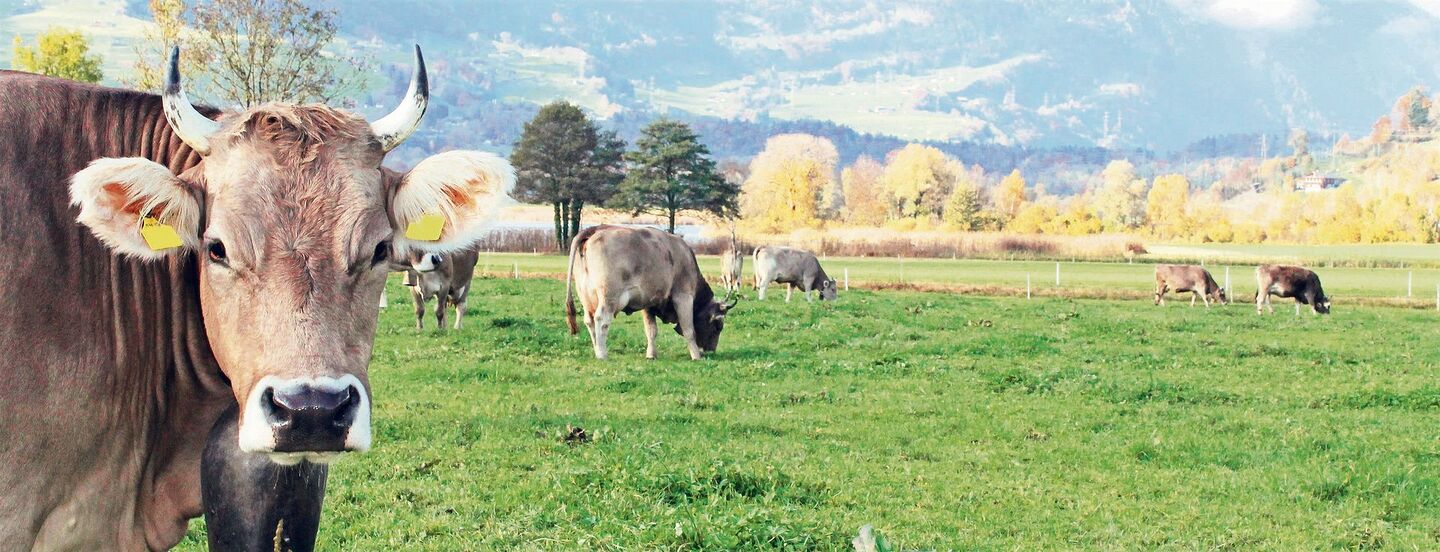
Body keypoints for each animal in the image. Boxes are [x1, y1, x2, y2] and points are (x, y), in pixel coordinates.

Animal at [565, 225, 736, 360]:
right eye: (718, 325)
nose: (711, 351)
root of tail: (595, 229)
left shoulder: (648, 304)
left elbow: (651, 331)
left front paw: (651, 355)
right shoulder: (683, 296)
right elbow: (689, 330)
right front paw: (696, 356)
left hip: (585, 297)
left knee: (589, 321)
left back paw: (596, 349)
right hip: (609, 297)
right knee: (601, 320)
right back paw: (602, 354)